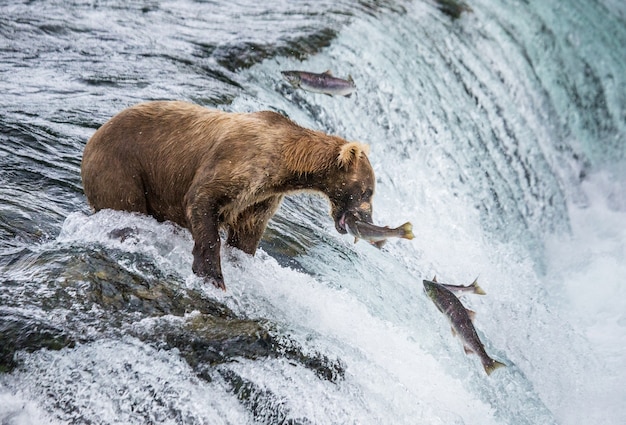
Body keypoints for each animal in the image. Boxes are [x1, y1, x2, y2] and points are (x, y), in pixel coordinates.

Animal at [80, 101, 372, 290]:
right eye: (367, 191)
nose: (367, 219)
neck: (287, 165)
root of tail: (92, 138)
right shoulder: (240, 161)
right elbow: (202, 199)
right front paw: (213, 275)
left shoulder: (261, 197)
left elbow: (247, 231)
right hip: (123, 169)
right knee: (126, 207)